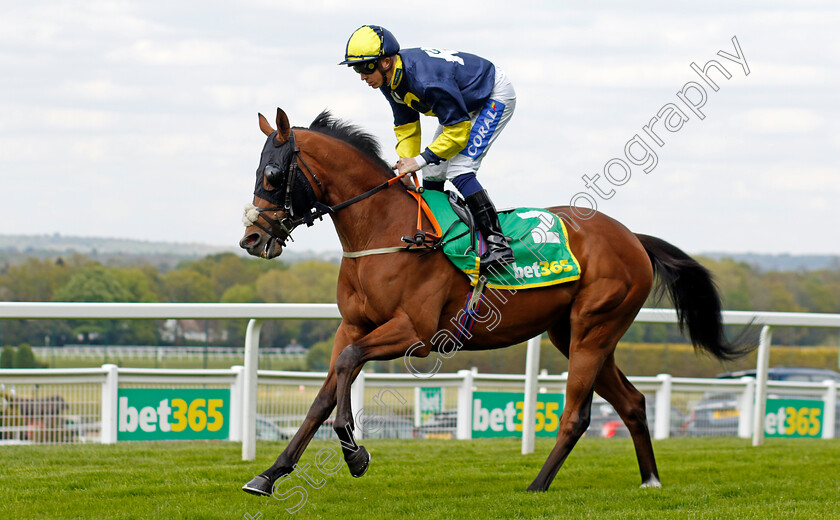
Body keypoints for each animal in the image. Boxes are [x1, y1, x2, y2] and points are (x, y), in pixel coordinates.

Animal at [238, 106, 756, 496]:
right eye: (257, 170)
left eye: (273, 174)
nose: (251, 238)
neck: (385, 231)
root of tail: (633, 239)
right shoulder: (353, 324)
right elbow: (325, 392)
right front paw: (269, 474)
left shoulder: (417, 333)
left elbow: (346, 364)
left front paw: (354, 451)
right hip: (574, 333)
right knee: (631, 402)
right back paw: (650, 480)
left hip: (595, 328)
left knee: (578, 414)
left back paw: (537, 485)